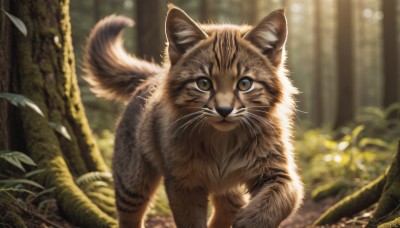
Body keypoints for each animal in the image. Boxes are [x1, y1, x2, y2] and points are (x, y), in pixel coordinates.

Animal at [85, 4, 304, 228]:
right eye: (204, 83)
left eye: (244, 84)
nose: (224, 110)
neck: (222, 140)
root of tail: (154, 76)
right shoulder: (183, 182)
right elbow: (191, 221)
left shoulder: (278, 172)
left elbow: (278, 201)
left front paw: (248, 221)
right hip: (132, 183)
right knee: (129, 215)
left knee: (229, 205)